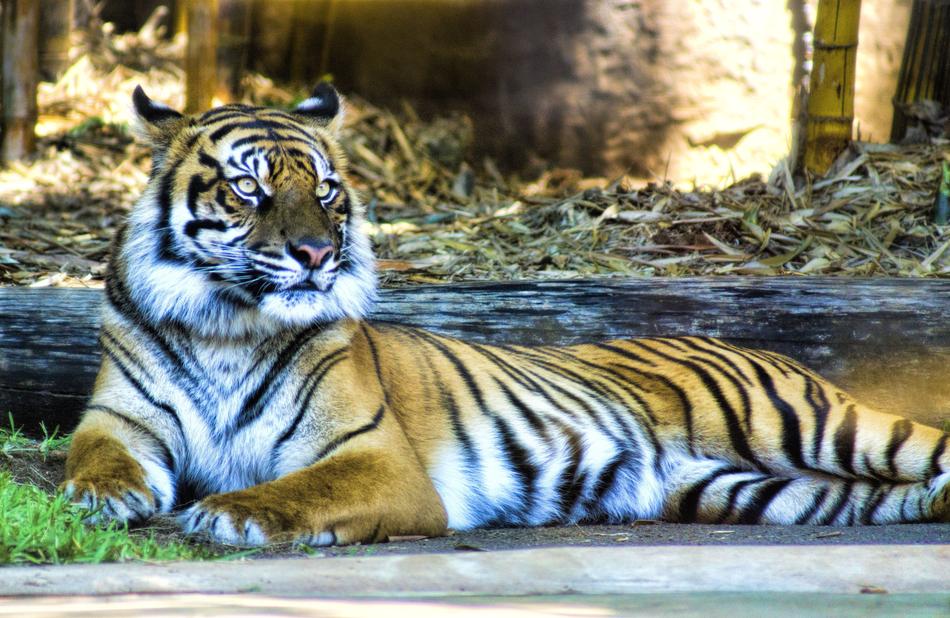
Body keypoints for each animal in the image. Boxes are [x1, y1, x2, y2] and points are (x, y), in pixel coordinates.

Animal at [62, 83, 950, 547]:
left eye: (325, 189)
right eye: (248, 188)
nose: (315, 254)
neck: (226, 322)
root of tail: (751, 343)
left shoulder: (374, 457)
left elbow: (299, 489)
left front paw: (227, 513)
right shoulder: (120, 421)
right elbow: (96, 462)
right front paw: (97, 499)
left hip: (815, 425)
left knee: (924, 450)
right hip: (741, 488)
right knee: (866, 499)